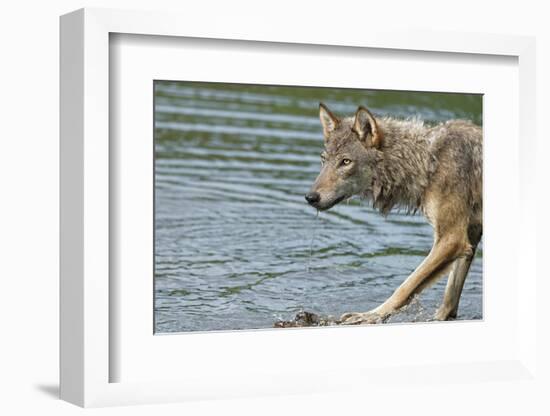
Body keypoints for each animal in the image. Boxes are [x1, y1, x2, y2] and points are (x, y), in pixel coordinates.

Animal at [308, 102, 486, 324]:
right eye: (323, 160)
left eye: (345, 162)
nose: (310, 197)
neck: (428, 163)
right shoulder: (470, 237)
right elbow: (449, 299)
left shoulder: (452, 239)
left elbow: (406, 286)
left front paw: (369, 316)